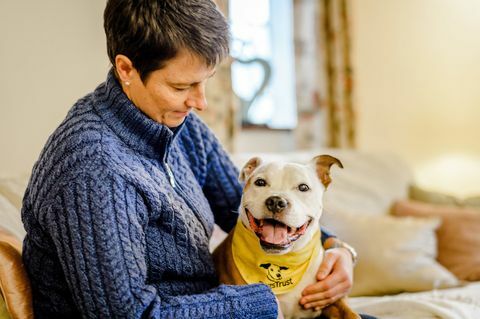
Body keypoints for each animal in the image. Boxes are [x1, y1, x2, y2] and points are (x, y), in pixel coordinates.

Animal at [214, 156, 360, 319]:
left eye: (303, 187)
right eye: (260, 182)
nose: (276, 202)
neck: (284, 257)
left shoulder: (333, 299)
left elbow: (353, 315)